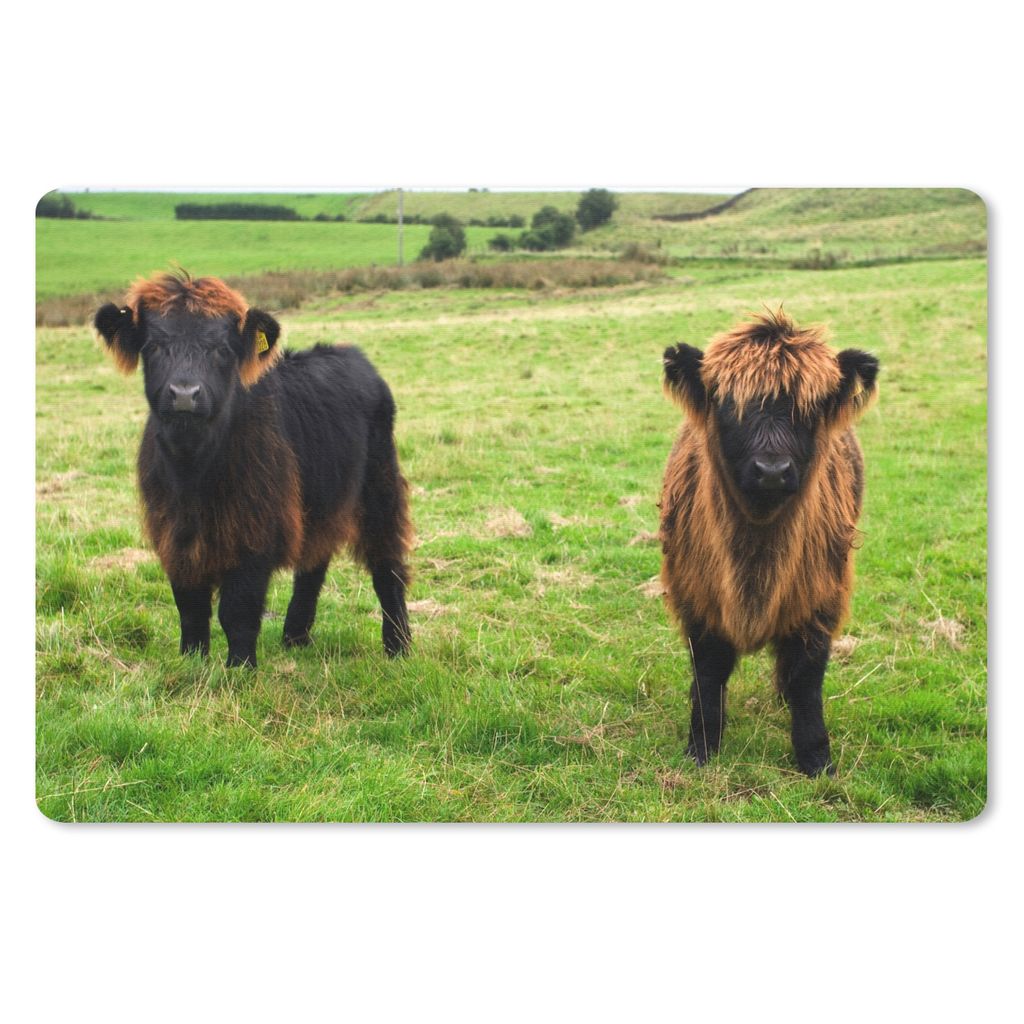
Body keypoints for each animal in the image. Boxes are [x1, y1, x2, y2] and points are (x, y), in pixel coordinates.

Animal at [94, 270, 413, 668]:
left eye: (222, 349)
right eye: (152, 346)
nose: (184, 394)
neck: (193, 469)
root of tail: (350, 354)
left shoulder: (255, 532)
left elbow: (238, 609)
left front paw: (240, 667)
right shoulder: (176, 535)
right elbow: (190, 607)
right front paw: (192, 661)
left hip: (380, 488)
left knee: (388, 566)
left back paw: (398, 646)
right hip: (318, 501)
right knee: (314, 562)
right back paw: (295, 636)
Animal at [659, 308, 879, 776]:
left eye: (810, 408)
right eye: (729, 406)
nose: (772, 471)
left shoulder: (819, 601)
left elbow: (806, 682)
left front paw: (817, 760)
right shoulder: (698, 598)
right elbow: (708, 676)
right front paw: (701, 748)